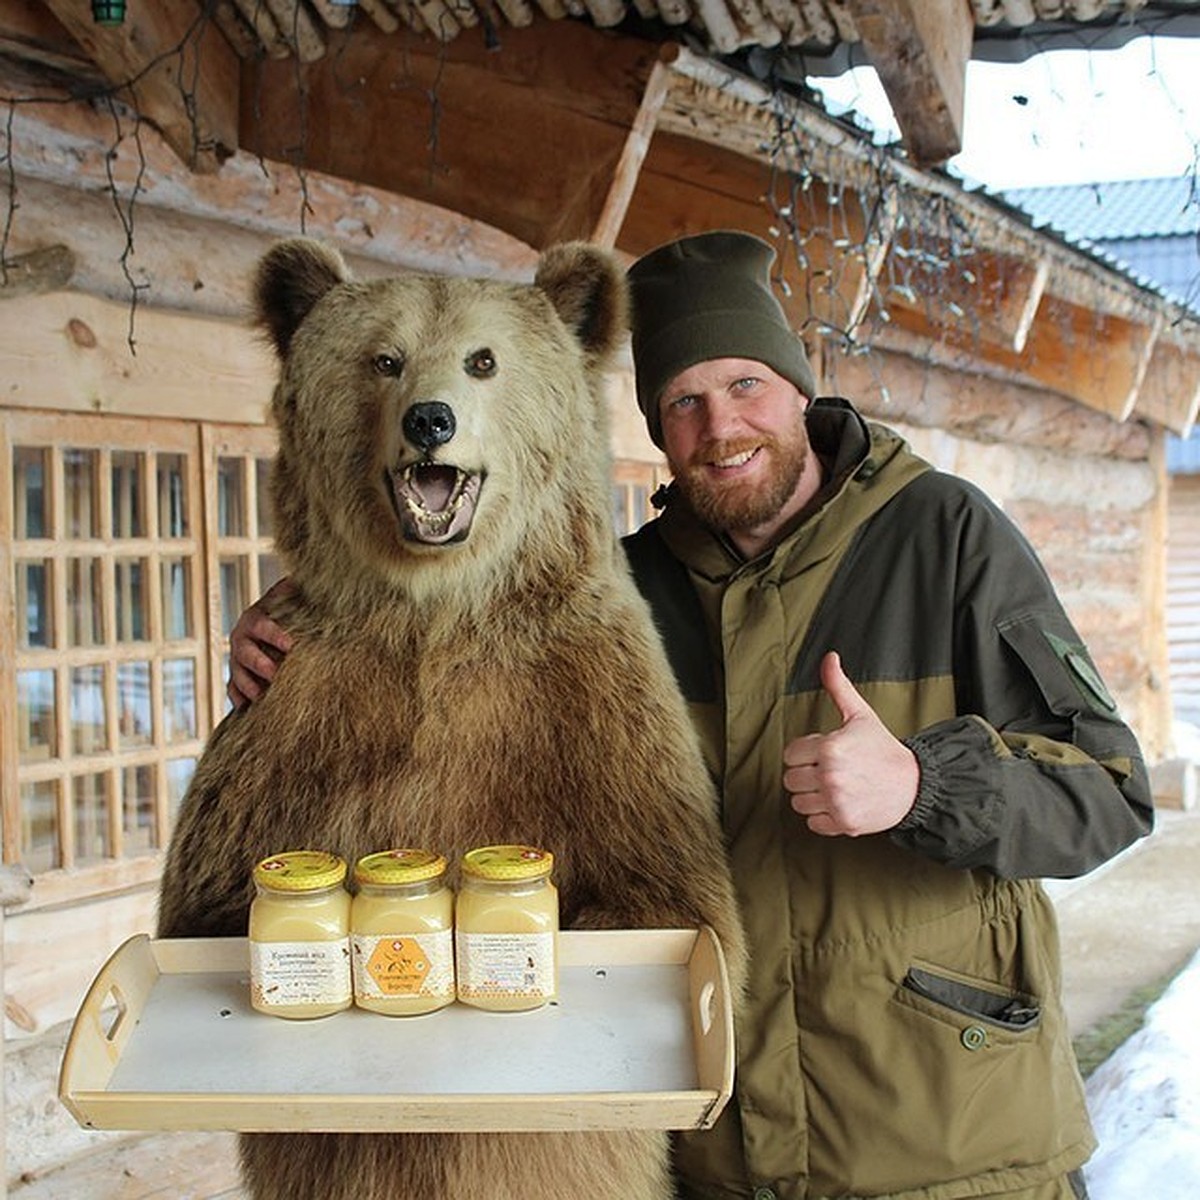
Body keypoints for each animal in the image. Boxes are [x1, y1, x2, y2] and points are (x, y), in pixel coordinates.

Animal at [154, 236, 744, 1200]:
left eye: (484, 360)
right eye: (383, 359)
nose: (430, 421)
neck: (436, 608)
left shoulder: (594, 695)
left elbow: (672, 900)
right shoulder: (297, 701)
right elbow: (201, 905)